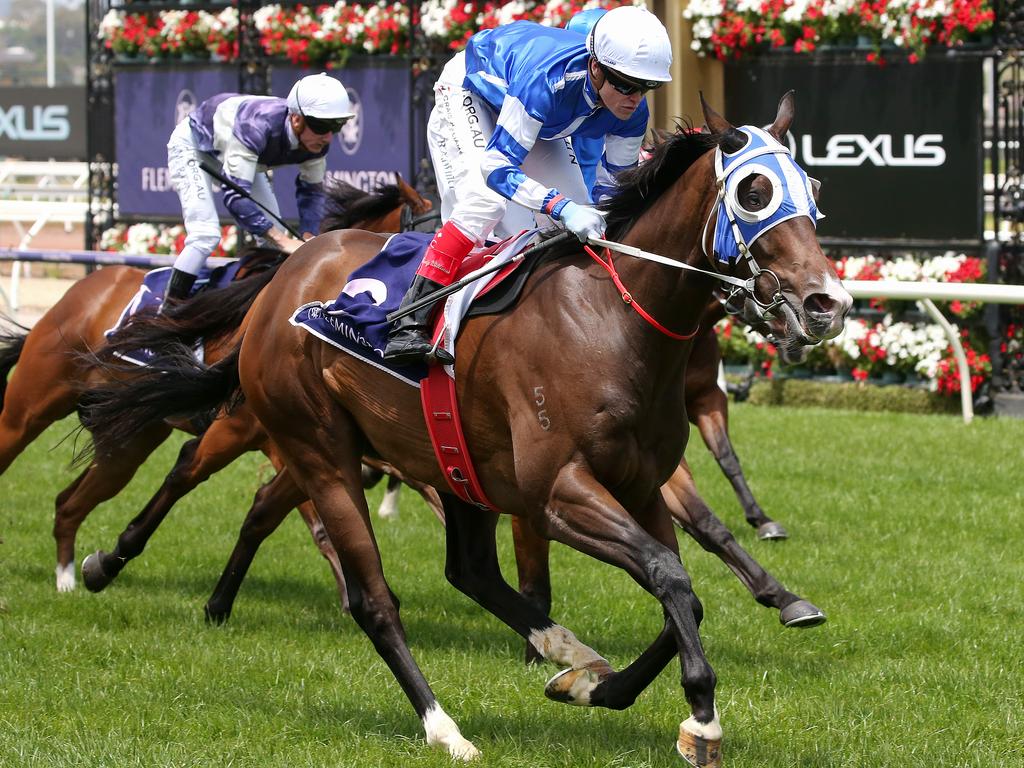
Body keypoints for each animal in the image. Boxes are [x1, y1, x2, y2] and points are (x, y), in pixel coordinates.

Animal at [0, 177, 434, 593]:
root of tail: (80, 293)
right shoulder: (243, 430)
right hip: (28, 410)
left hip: (125, 445)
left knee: (68, 503)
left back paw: (66, 578)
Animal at [79, 96, 851, 765]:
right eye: (754, 190)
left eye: (813, 186)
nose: (827, 303)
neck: (610, 320)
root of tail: (285, 276)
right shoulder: (556, 493)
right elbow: (670, 577)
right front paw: (701, 720)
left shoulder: (638, 485)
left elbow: (681, 591)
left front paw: (602, 688)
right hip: (319, 450)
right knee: (372, 600)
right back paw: (444, 728)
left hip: (454, 468)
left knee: (468, 569)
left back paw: (568, 657)